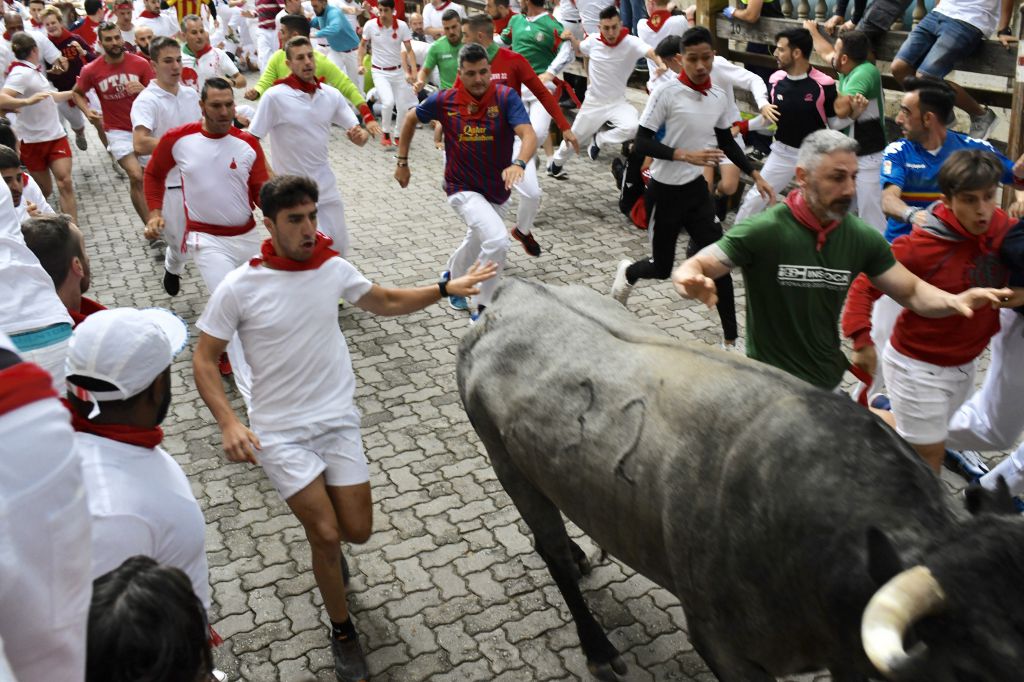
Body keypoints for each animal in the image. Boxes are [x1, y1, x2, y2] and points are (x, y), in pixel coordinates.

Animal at [456, 278, 1024, 682]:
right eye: (972, 668)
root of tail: (515, 292)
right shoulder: (722, 645)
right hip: (504, 460)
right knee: (547, 545)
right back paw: (596, 645)